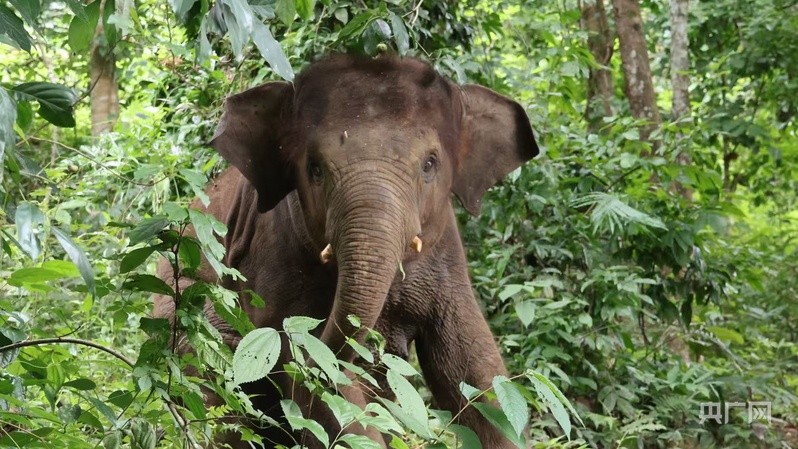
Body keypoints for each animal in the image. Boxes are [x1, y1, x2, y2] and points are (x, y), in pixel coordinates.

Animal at [153, 53, 539, 448]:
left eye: (430, 163)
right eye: (315, 169)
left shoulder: (447, 256)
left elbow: (474, 364)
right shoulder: (276, 255)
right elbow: (316, 375)